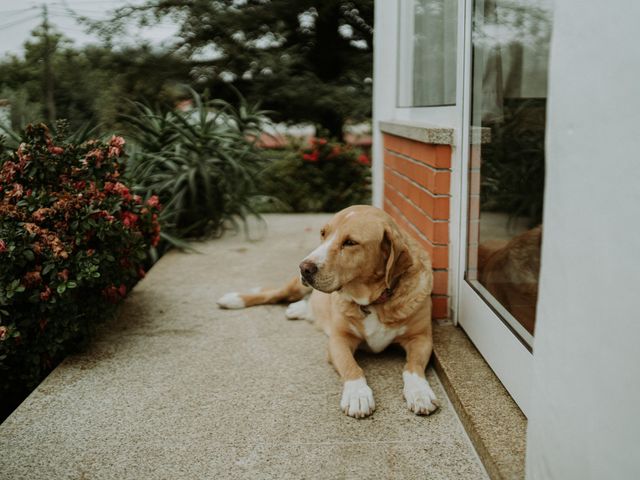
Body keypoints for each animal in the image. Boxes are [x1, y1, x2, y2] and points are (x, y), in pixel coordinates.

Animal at [218, 204, 438, 418]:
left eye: (350, 242)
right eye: (323, 233)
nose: (303, 267)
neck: (374, 301)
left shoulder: (421, 339)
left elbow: (412, 367)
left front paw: (419, 391)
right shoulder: (339, 339)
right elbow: (352, 366)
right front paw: (357, 394)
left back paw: (299, 309)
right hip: (295, 287)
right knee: (273, 294)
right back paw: (234, 299)